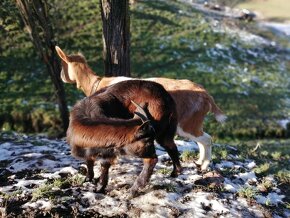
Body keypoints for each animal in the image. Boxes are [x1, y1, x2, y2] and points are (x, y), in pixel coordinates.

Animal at [55, 46, 225, 171]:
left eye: (62, 64)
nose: (61, 76)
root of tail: (206, 95)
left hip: (186, 124)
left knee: (206, 139)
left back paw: (204, 165)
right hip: (192, 123)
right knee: (202, 140)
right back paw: (199, 162)